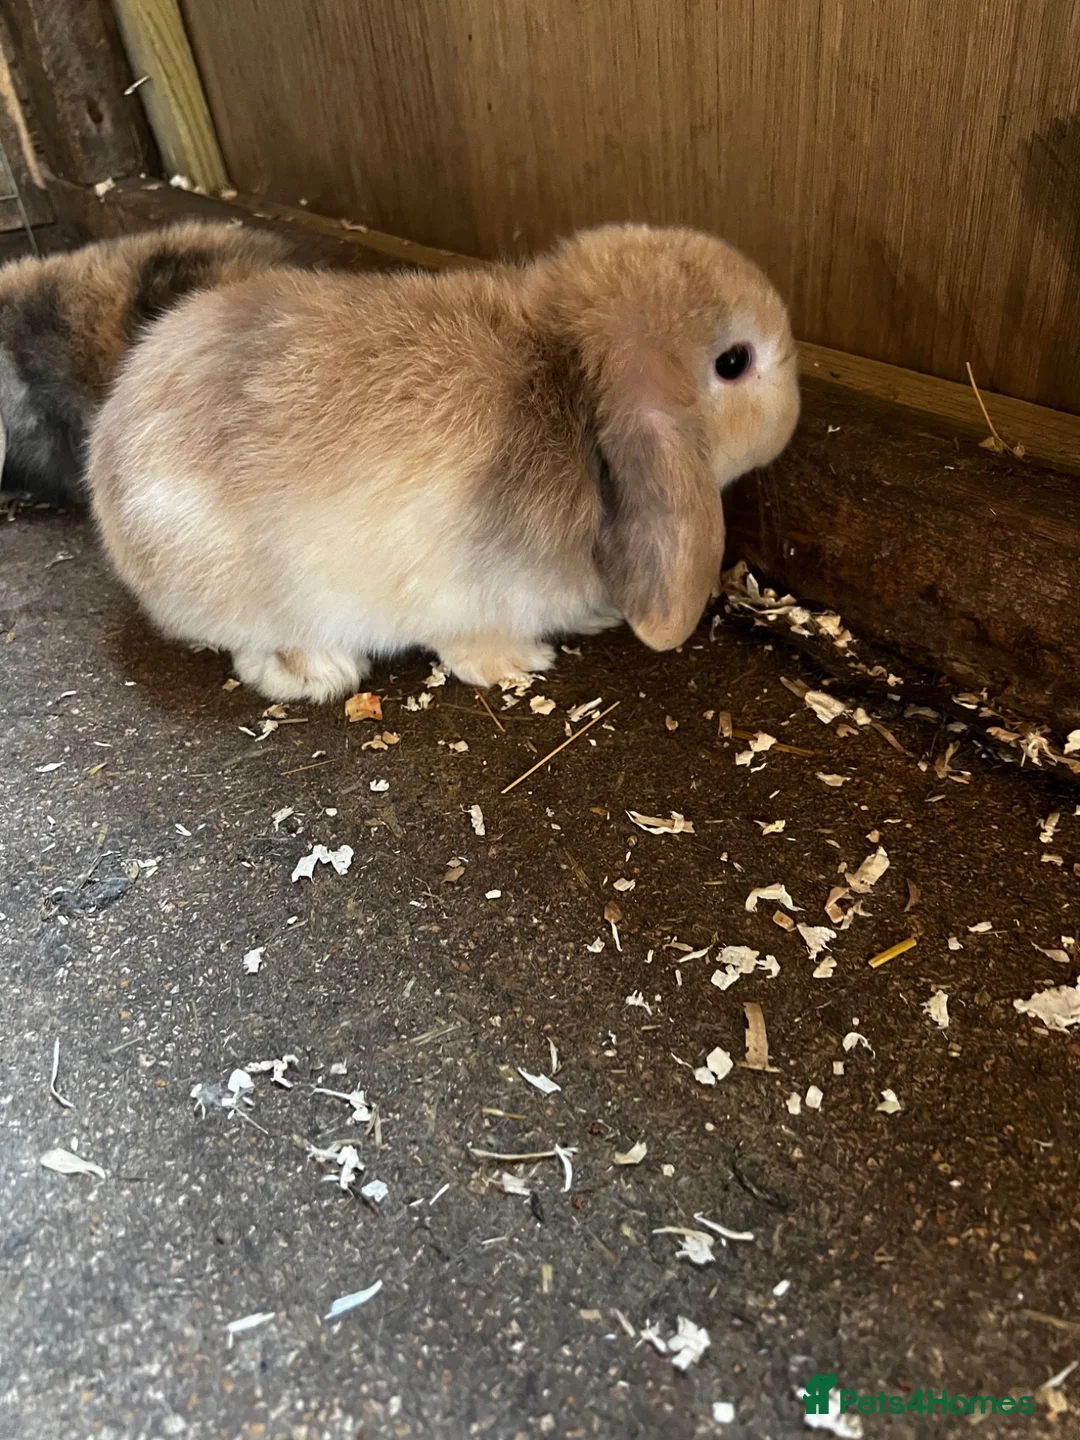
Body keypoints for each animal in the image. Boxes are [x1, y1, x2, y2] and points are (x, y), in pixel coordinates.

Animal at [87, 222, 800, 700]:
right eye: (733, 362)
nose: (794, 414)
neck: (569, 380)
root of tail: (106, 472)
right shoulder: (461, 592)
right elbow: (466, 642)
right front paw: (517, 664)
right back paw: (319, 670)